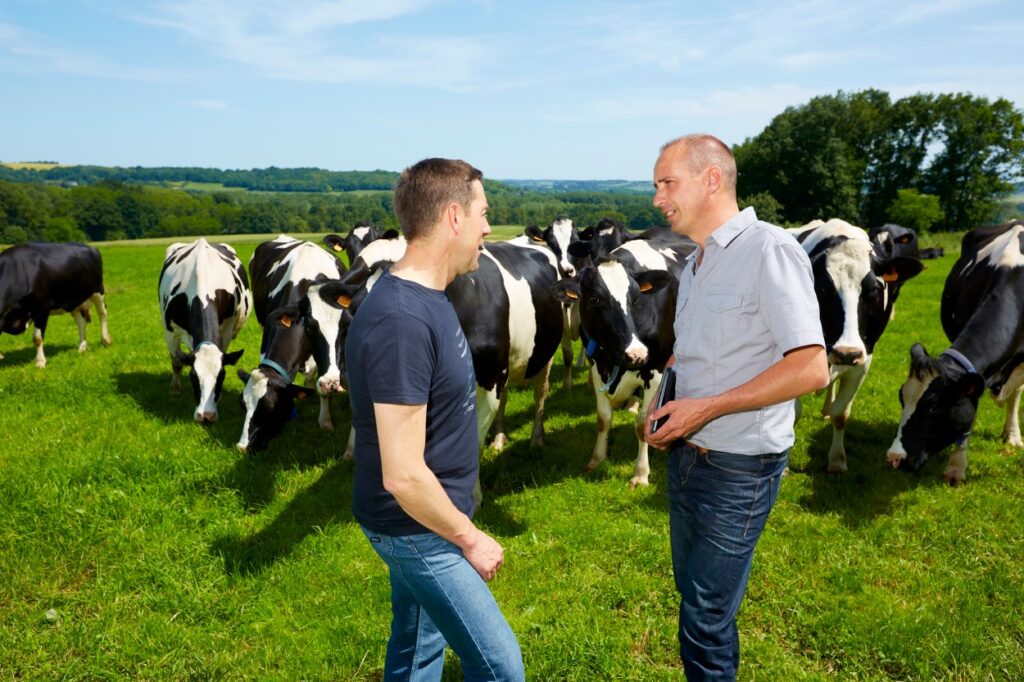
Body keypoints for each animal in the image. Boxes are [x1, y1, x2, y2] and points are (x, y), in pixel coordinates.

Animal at [160, 237, 254, 419]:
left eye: (222, 376)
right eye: (193, 376)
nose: (206, 415)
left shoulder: (226, 329)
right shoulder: (170, 331)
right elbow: (176, 361)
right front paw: (175, 389)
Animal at [557, 236, 692, 485]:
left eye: (636, 298)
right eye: (595, 299)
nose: (636, 353)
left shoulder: (657, 368)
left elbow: (642, 424)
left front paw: (641, 473)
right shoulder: (596, 364)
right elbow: (603, 418)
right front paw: (596, 459)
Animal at [786, 218, 925, 473]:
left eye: (874, 290)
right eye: (823, 289)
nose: (846, 352)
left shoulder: (863, 359)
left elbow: (841, 413)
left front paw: (837, 461)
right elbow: (793, 413)